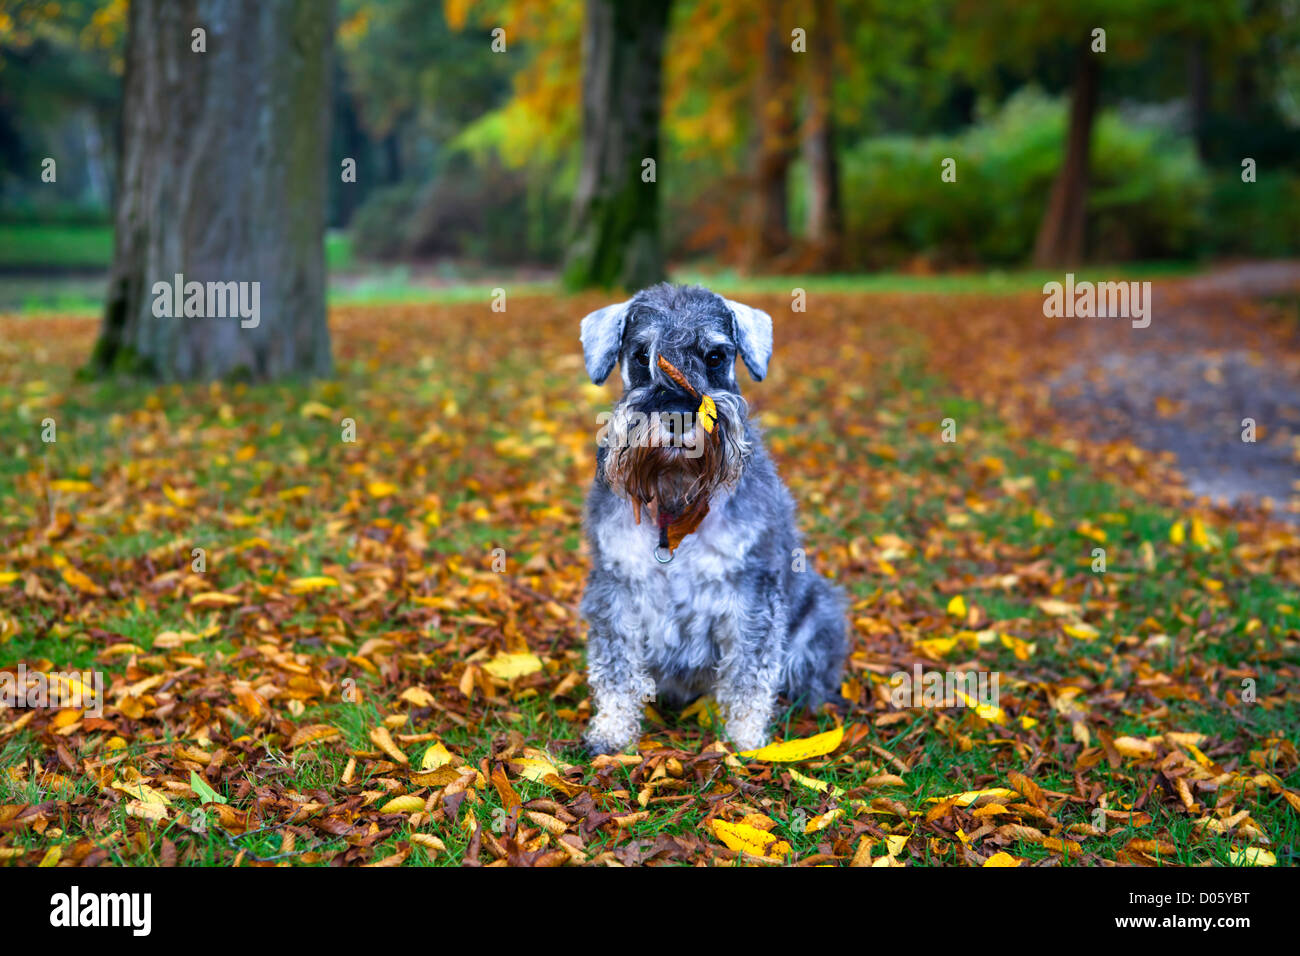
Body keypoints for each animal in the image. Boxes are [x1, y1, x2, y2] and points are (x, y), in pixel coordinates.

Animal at [577, 283, 842, 754]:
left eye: (715, 356)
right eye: (641, 355)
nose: (678, 415)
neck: (677, 502)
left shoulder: (752, 595)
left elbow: (750, 674)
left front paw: (745, 740)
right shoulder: (616, 589)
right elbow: (616, 668)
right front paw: (612, 732)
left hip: (819, 617)